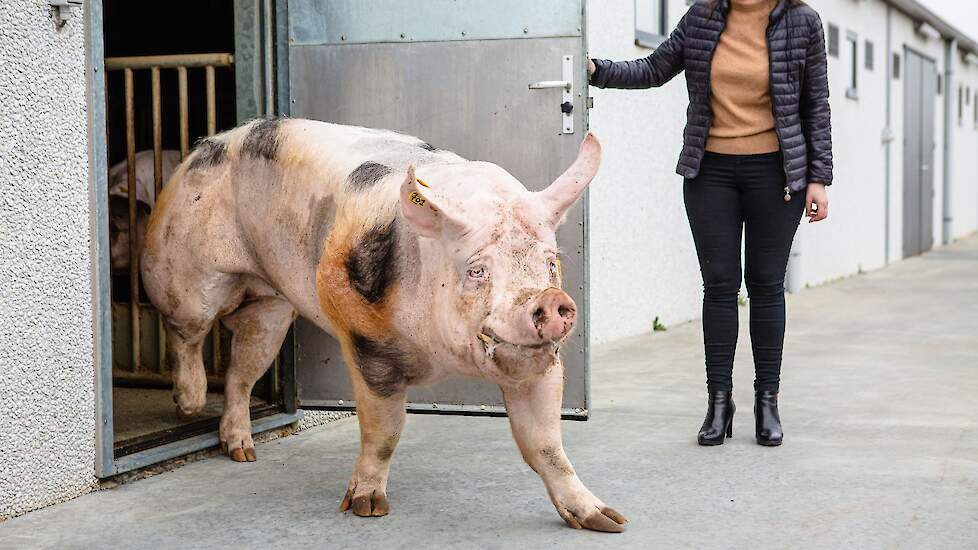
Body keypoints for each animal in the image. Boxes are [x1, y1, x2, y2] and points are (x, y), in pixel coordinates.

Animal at [138, 117, 624, 536]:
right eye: (477, 269)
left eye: (550, 262)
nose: (551, 301)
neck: (438, 359)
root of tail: (204, 145)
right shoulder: (367, 342)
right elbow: (384, 431)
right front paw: (367, 508)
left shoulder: (542, 363)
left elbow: (547, 446)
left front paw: (606, 521)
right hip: (181, 268)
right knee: (186, 331)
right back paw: (188, 404)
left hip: (272, 310)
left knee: (242, 371)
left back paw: (243, 453)